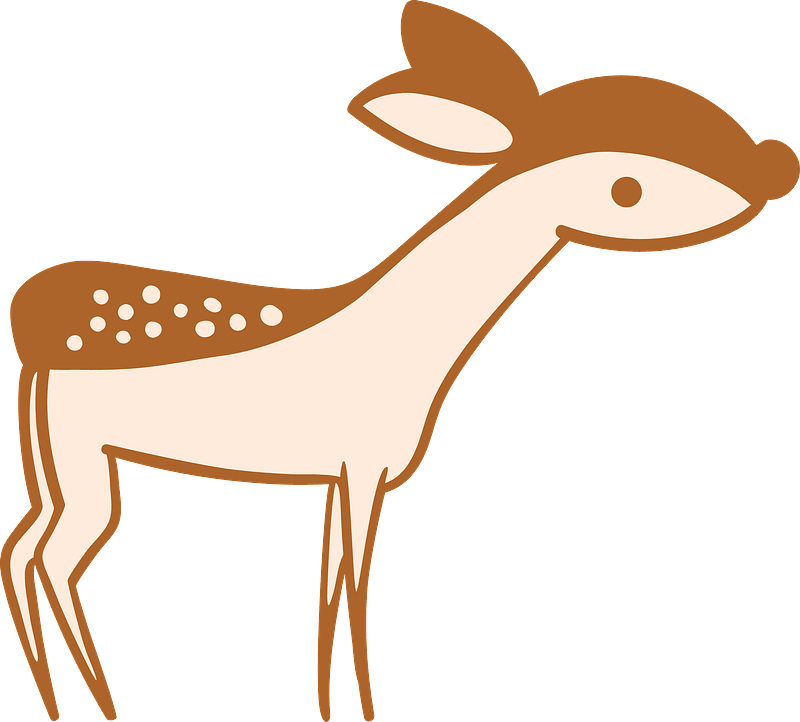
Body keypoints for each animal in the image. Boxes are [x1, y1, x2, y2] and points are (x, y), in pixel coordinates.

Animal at [1, 1, 798, 720]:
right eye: (626, 188)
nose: (774, 168)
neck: (403, 343)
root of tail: (26, 334)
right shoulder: (363, 465)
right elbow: (356, 587)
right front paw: (363, 706)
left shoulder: (343, 474)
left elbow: (329, 588)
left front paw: (328, 706)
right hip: (81, 458)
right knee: (54, 558)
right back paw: (99, 703)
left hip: (58, 465)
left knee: (26, 549)